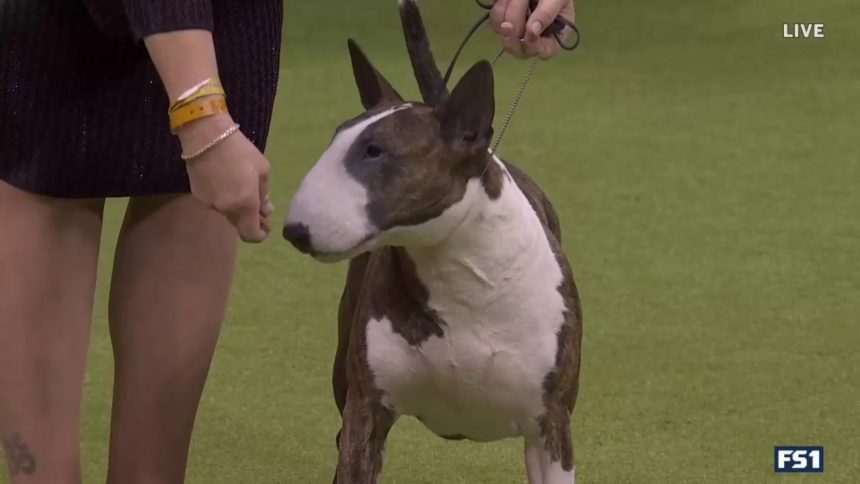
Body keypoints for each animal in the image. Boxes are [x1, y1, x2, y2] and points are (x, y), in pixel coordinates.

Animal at [286, 1, 580, 482]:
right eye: (335, 140)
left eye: (376, 150)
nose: (294, 230)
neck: (461, 276)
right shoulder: (366, 412)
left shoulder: (550, 426)